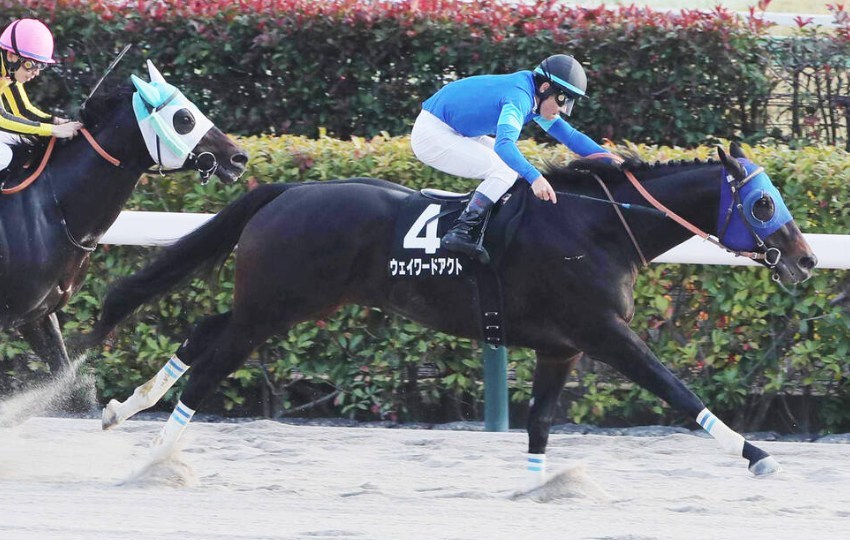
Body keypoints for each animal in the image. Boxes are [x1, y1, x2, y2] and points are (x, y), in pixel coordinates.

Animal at [0, 60, 247, 398]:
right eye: (184, 119)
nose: (239, 157)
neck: (50, 209)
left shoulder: (38, 314)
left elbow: (67, 380)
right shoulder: (14, 314)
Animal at [78, 143, 816, 485]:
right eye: (762, 204)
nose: (806, 260)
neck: (598, 227)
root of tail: (287, 191)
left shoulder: (563, 345)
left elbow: (540, 424)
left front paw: (534, 493)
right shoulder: (603, 332)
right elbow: (678, 391)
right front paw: (756, 454)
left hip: (278, 303)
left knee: (202, 333)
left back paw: (122, 408)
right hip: (273, 307)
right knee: (206, 375)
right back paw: (155, 460)